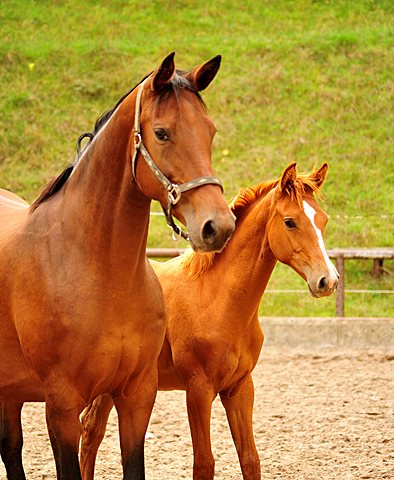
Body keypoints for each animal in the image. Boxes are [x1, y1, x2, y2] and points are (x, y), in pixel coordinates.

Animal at [79, 162, 338, 480]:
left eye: (323, 220)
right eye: (290, 222)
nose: (328, 280)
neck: (216, 298)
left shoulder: (239, 389)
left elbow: (250, 460)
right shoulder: (198, 391)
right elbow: (204, 463)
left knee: (92, 431)